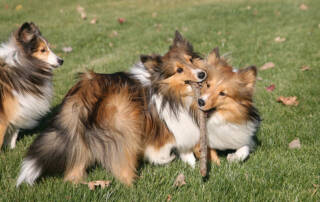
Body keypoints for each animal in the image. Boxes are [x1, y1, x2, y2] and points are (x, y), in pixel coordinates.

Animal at [16, 31, 208, 186]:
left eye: (191, 59)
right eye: (179, 70)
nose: (202, 74)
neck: (167, 90)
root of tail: (87, 89)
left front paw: (190, 164)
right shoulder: (166, 124)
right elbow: (164, 147)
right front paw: (168, 159)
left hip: (78, 131)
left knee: (76, 164)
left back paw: (77, 183)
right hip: (124, 122)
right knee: (121, 160)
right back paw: (130, 183)